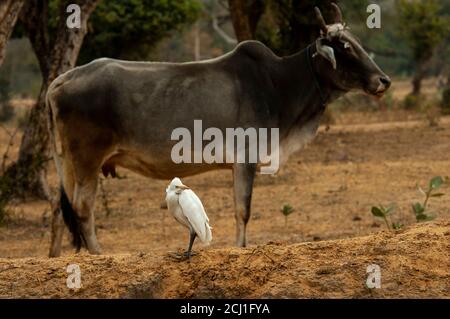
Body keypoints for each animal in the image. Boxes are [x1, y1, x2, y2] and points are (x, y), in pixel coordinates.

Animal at [46, 3, 390, 258]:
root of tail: (61, 80)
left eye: (358, 43)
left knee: (61, 209)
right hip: (87, 159)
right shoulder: (246, 158)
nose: (383, 80)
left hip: (68, 163)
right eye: (344, 46)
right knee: (83, 209)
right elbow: (243, 210)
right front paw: (240, 247)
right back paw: (97, 254)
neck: (278, 83)